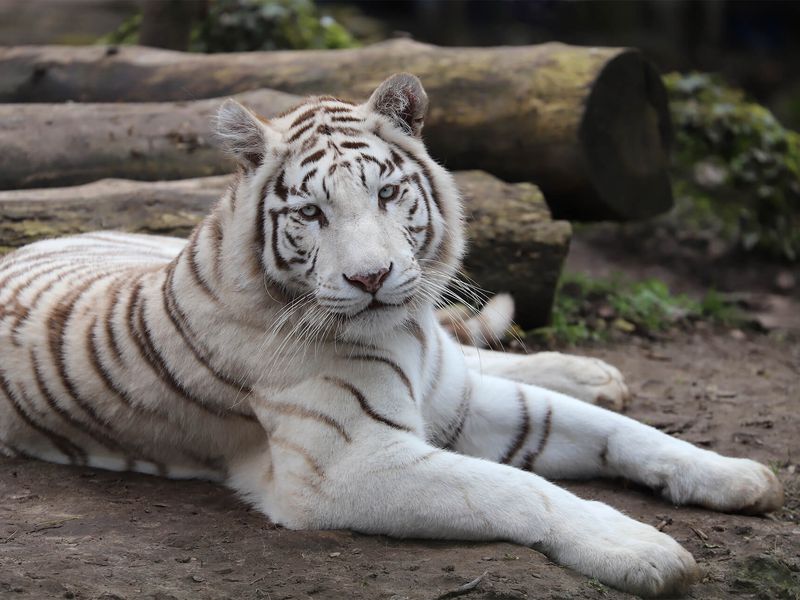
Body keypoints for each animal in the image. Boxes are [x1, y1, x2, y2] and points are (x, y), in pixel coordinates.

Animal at [0, 73, 783, 597]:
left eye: (386, 192)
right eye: (310, 213)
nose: (372, 276)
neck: (405, 331)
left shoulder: (458, 402)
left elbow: (626, 434)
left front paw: (740, 476)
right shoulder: (350, 464)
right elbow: (521, 490)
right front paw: (640, 548)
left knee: (484, 356)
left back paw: (594, 374)